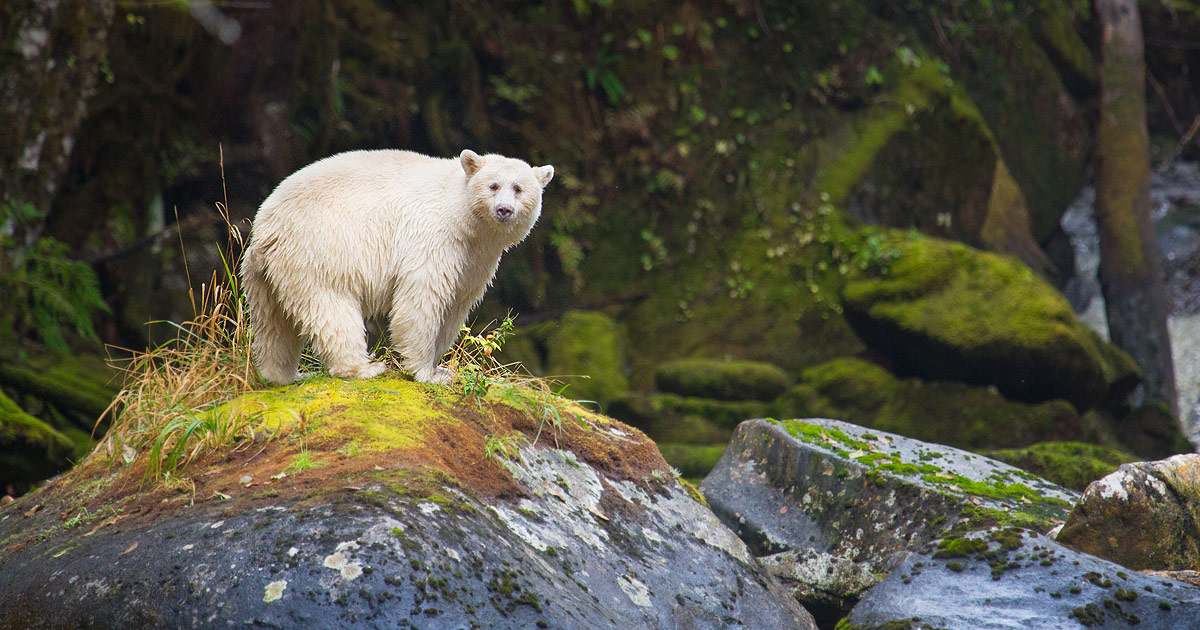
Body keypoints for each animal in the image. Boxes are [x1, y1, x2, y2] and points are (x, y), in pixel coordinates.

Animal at [240, 148, 556, 384]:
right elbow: (422, 299)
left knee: (273, 323)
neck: (464, 219)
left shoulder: (476, 259)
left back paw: (280, 374)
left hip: (265, 272)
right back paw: (363, 368)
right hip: (319, 251)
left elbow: (456, 304)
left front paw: (441, 368)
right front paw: (426, 372)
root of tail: (265, 227)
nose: (504, 210)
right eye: (493, 186)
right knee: (331, 308)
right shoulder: (435, 237)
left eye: (518, 188)